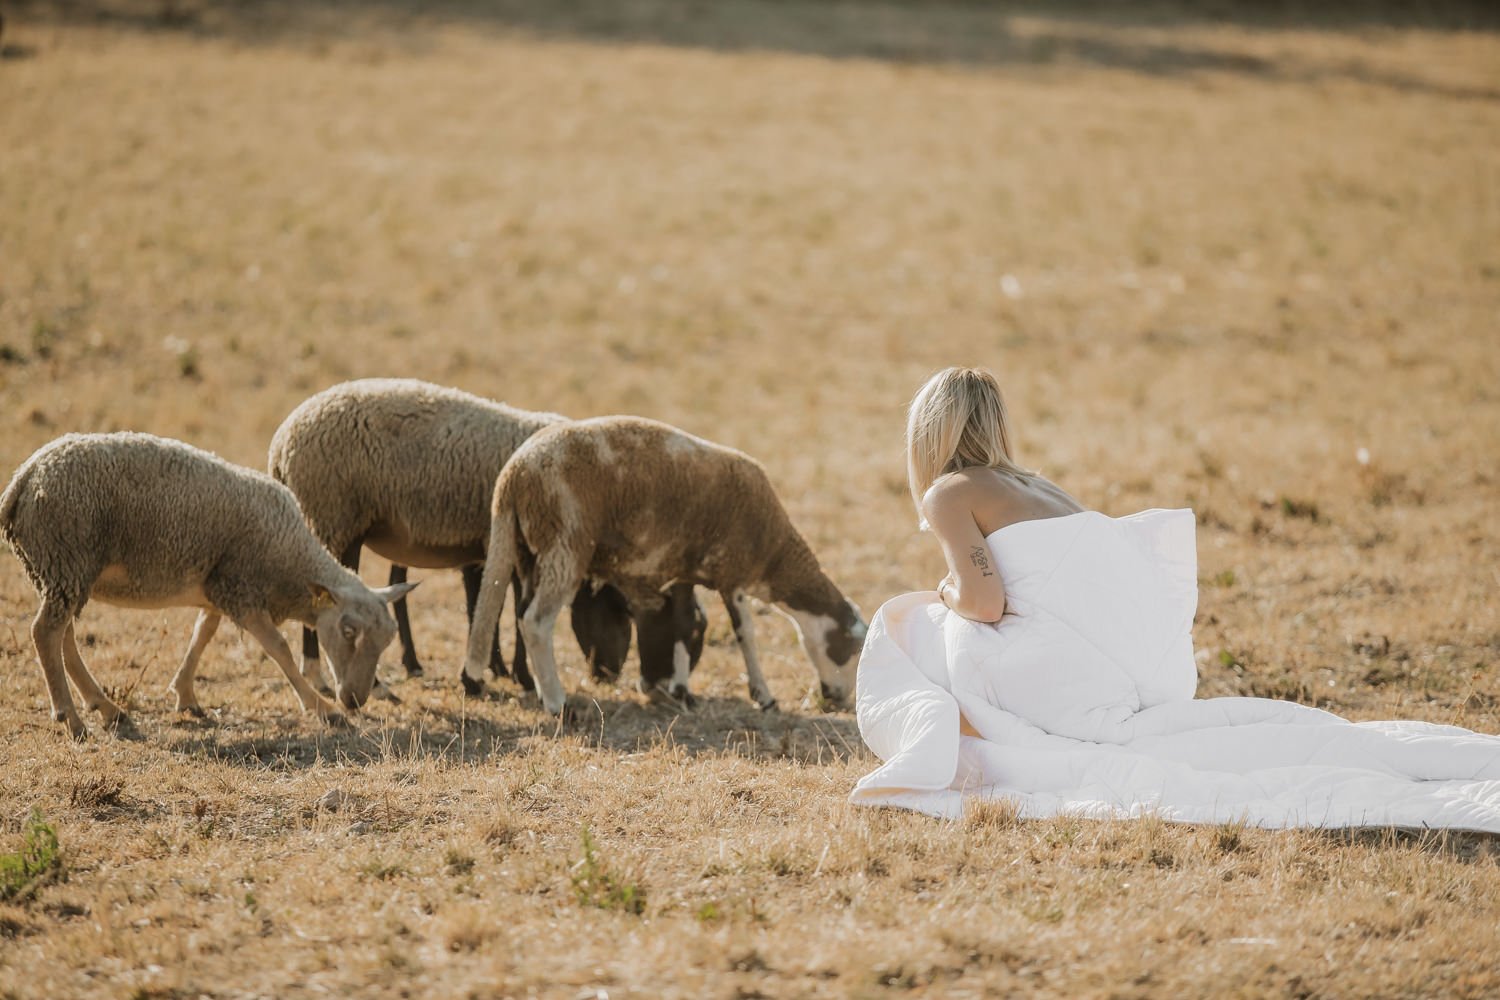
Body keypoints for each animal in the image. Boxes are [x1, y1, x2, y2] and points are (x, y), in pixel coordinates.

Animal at [0, 432, 415, 739]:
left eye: (387, 640)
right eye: (349, 631)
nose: (355, 700)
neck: (290, 558)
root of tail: (24, 478)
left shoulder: (218, 586)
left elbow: (203, 633)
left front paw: (185, 695)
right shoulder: (241, 588)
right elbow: (279, 649)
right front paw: (323, 709)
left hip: (63, 571)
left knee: (64, 638)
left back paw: (108, 709)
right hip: (67, 560)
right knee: (45, 633)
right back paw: (71, 718)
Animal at [266, 378, 703, 694]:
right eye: (694, 630)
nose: (607, 675)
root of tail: (281, 444)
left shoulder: (488, 546)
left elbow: (484, 604)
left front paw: (493, 669)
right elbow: (510, 607)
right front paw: (518, 676)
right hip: (332, 515)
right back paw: (338, 678)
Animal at [462, 416, 867, 716]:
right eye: (854, 648)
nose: (838, 700)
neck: (774, 554)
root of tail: (512, 478)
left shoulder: (682, 570)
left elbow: (687, 625)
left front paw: (681, 690)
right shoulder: (732, 572)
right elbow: (746, 636)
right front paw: (763, 696)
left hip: (530, 551)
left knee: (521, 613)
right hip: (565, 541)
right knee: (536, 622)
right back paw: (558, 704)